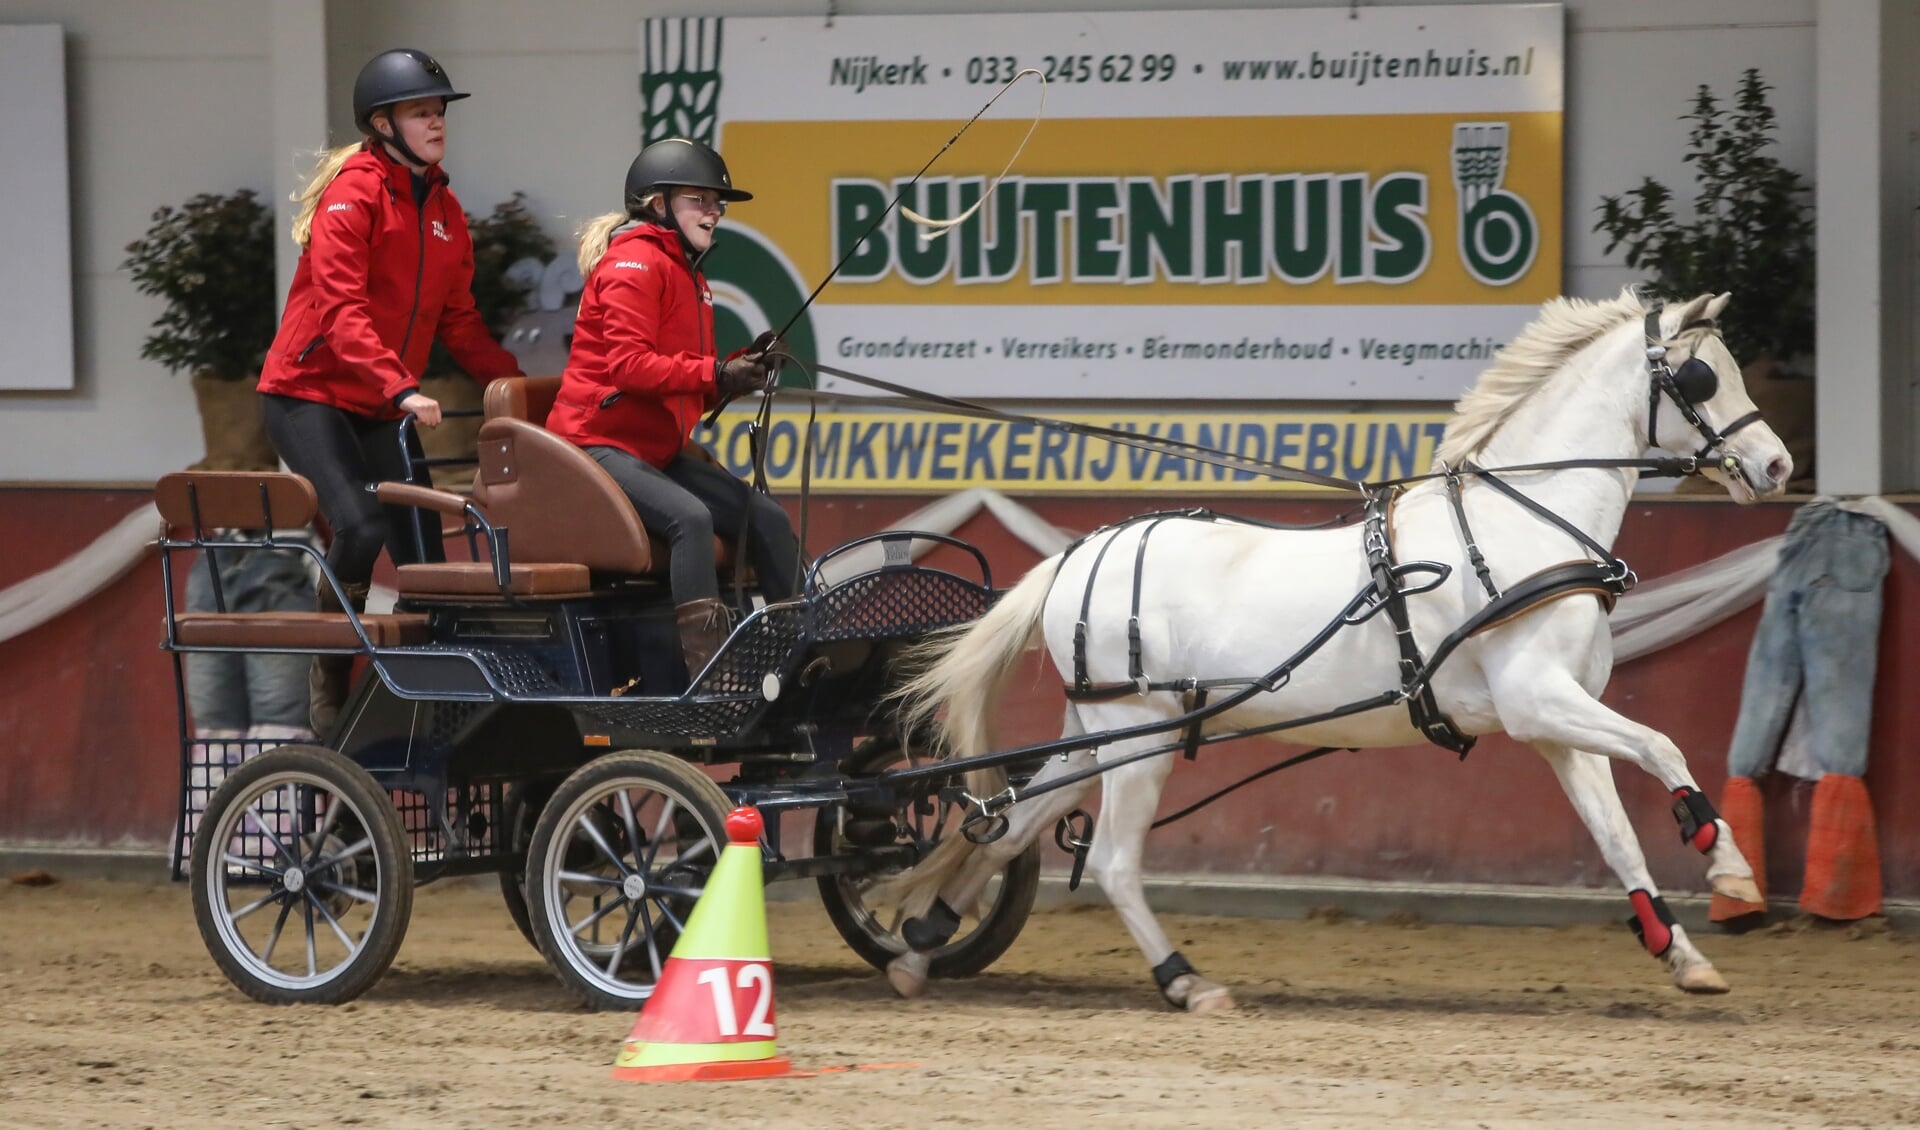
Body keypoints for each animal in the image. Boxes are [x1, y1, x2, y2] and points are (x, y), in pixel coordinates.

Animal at [879, 285, 1789, 1005]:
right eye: (1703, 377)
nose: (1779, 465)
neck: (1520, 525)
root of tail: (1077, 553)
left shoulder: (1554, 724)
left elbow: (1618, 835)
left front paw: (1683, 954)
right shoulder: (1541, 700)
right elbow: (1664, 746)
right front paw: (1730, 870)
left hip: (1102, 731)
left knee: (1009, 823)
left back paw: (920, 947)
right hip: (1141, 737)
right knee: (1109, 860)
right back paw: (1185, 980)